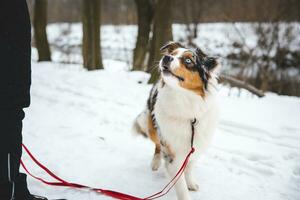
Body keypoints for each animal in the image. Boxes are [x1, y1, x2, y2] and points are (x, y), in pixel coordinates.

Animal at [134, 41, 220, 199]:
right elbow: (180, 184)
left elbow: (189, 166)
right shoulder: (170, 151)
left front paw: (190, 182)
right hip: (150, 124)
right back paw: (155, 162)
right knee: (157, 145)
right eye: (172, 54)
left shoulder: (195, 145)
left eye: (188, 60)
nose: (166, 57)